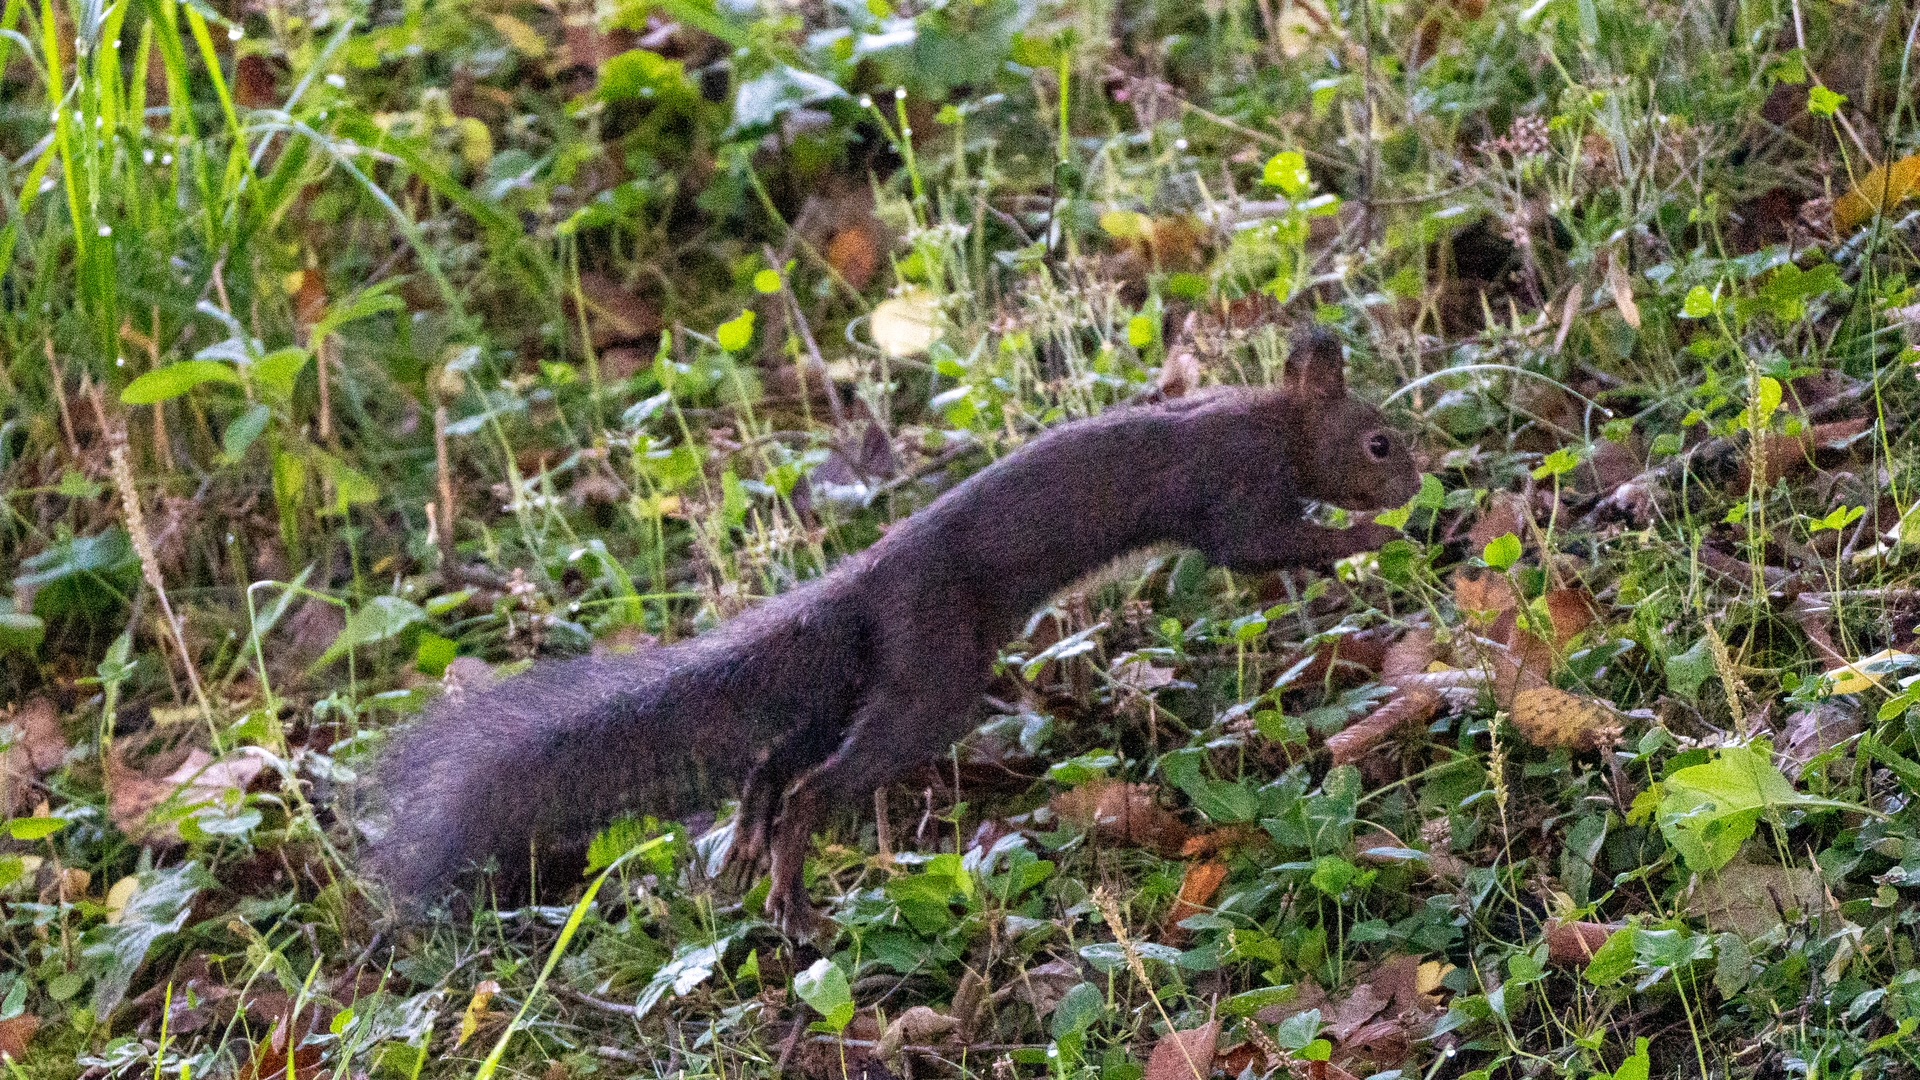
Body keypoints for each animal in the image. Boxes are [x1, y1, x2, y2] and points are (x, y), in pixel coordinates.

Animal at [367, 328, 1422, 936]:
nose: (1418, 478)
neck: (1272, 421)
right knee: (820, 780)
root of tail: (864, 586)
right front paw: (1374, 535)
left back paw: (748, 840)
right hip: (933, 671)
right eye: (1379, 442)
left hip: (872, 677)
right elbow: (1264, 545)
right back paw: (791, 897)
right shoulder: (1236, 492)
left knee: (780, 754)